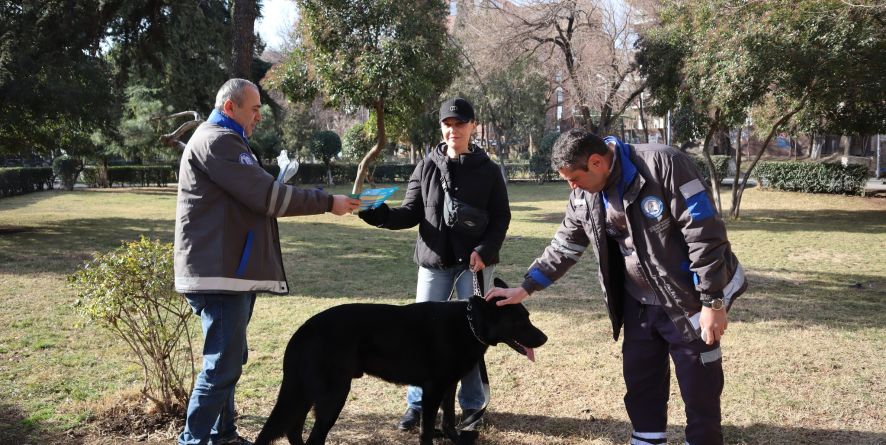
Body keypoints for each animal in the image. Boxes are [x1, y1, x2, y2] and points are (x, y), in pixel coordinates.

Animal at [253, 280, 548, 442]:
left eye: (528, 317)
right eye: (520, 321)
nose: (544, 338)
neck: (469, 322)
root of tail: (302, 332)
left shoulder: (448, 387)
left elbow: (449, 420)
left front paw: (455, 439)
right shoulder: (432, 391)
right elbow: (426, 431)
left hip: (307, 394)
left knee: (293, 430)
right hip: (332, 395)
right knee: (312, 436)